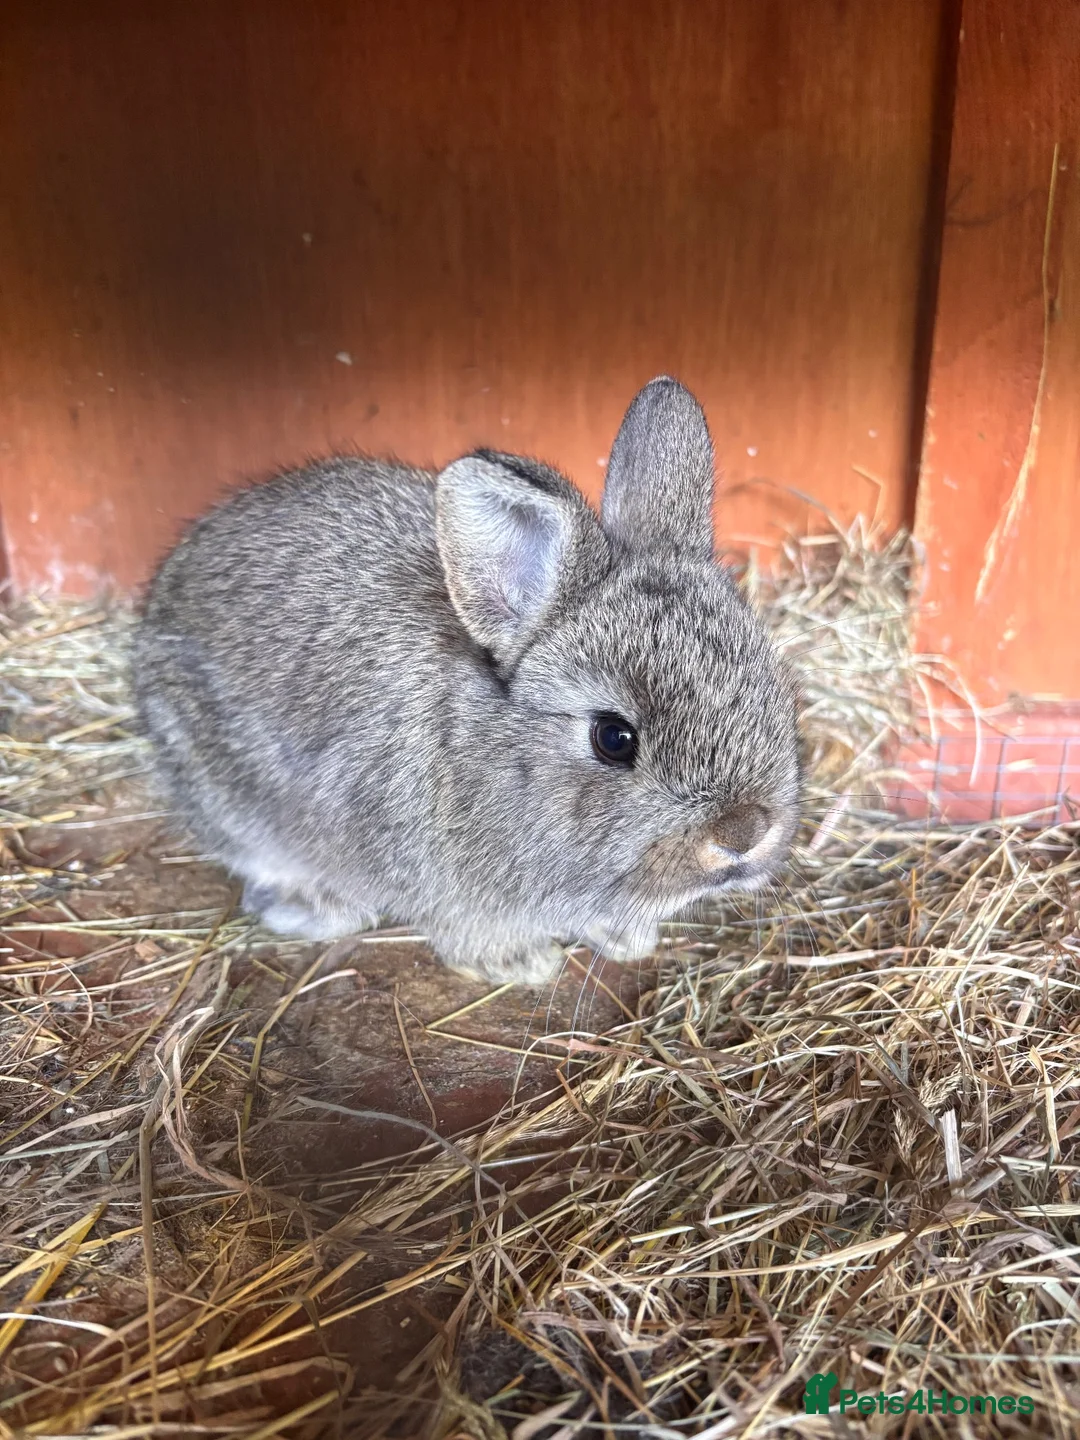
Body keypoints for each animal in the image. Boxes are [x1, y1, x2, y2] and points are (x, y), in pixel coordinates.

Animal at [133, 377, 801, 985]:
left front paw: (626, 938)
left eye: (773, 686)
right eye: (614, 738)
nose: (744, 834)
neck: (486, 747)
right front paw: (523, 963)